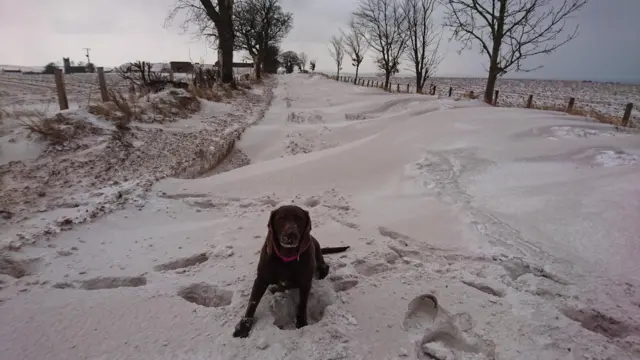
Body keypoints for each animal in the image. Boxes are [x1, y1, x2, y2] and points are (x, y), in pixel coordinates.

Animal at [232, 205, 348, 338]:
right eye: (281, 218)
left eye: (300, 219)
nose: (291, 235)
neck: (287, 257)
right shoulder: (261, 279)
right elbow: (252, 303)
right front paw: (243, 327)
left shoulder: (305, 283)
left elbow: (302, 304)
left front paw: (301, 323)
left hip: (317, 255)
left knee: (325, 266)